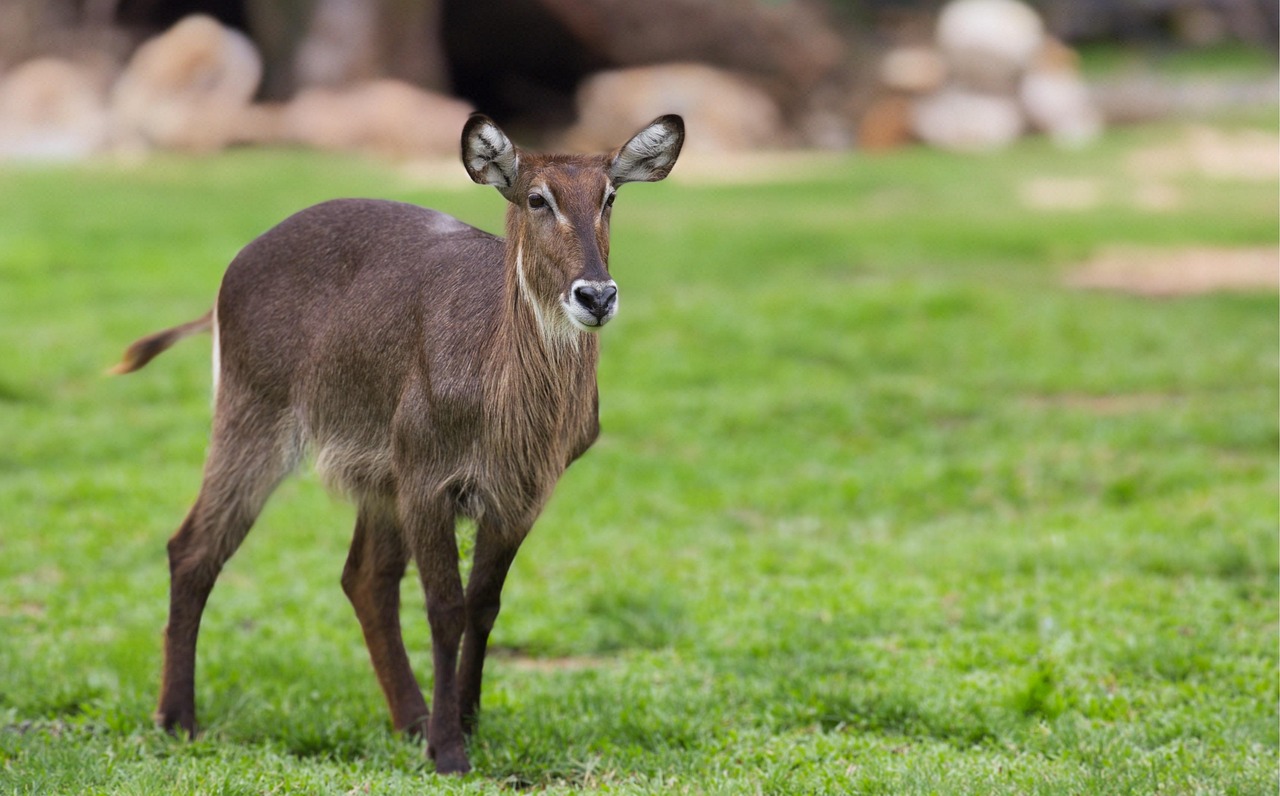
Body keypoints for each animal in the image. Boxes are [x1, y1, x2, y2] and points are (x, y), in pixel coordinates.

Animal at [115, 112, 686, 772]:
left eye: (610, 196)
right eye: (537, 198)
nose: (595, 295)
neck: (508, 406)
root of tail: (232, 271)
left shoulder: (518, 496)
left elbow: (484, 605)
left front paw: (464, 719)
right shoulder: (427, 483)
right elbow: (446, 608)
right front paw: (451, 750)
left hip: (374, 477)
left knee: (363, 578)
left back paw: (410, 719)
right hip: (255, 422)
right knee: (193, 549)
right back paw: (177, 720)